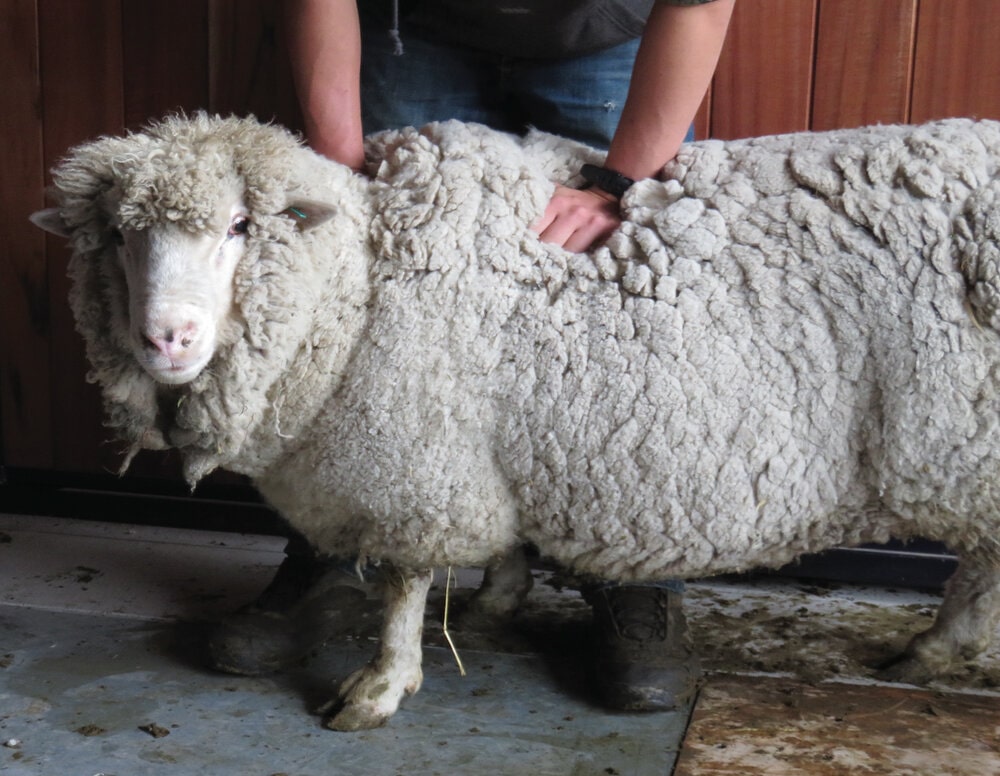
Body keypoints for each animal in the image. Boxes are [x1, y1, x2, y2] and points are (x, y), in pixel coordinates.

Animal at [31, 112, 1000, 732]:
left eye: (240, 225)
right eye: (117, 236)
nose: (166, 338)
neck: (360, 287)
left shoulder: (416, 465)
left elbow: (401, 587)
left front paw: (381, 686)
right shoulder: (474, 452)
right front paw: (499, 590)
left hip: (971, 450)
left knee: (981, 567)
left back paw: (937, 651)